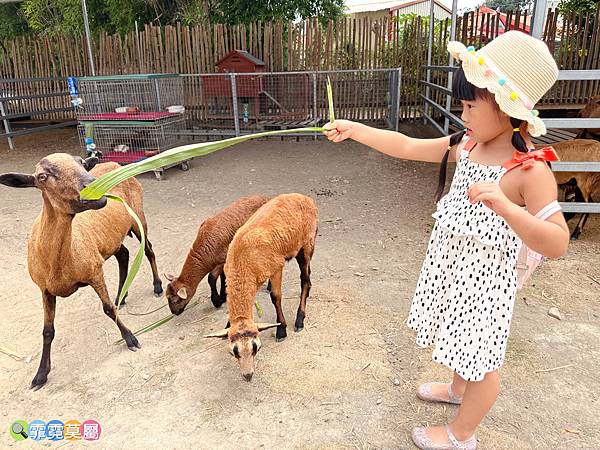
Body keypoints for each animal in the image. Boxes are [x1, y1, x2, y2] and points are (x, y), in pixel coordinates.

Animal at [0, 153, 162, 388]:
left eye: (82, 163)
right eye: (42, 176)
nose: (95, 186)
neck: (58, 262)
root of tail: (113, 163)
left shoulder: (94, 271)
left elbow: (107, 309)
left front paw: (130, 337)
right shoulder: (45, 290)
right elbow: (47, 331)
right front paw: (40, 375)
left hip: (137, 216)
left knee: (148, 250)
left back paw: (157, 286)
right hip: (109, 237)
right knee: (123, 254)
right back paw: (121, 295)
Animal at [206, 192, 318, 382]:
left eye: (256, 347)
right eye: (233, 352)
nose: (248, 375)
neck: (241, 261)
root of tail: (304, 197)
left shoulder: (276, 267)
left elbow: (276, 296)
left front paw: (281, 329)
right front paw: (228, 323)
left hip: (306, 244)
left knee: (305, 280)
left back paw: (299, 319)